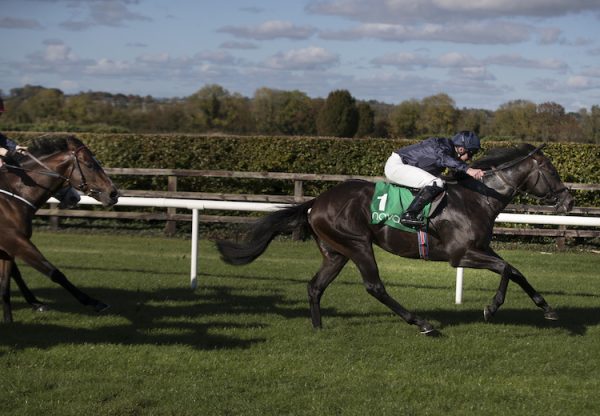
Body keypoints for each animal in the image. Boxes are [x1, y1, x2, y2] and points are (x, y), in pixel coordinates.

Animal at [0, 136, 119, 322]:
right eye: (90, 165)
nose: (113, 193)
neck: (12, 196)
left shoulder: (8, 247)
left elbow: (6, 283)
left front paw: (10, 320)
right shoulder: (13, 240)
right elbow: (54, 273)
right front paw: (94, 302)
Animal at [218, 143, 576, 334]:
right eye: (552, 171)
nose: (569, 201)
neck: (477, 198)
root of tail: (316, 202)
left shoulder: (481, 248)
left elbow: (515, 270)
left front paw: (547, 308)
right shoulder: (460, 255)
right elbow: (505, 270)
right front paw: (492, 308)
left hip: (336, 252)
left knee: (315, 286)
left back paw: (318, 327)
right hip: (358, 243)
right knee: (375, 286)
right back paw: (422, 323)